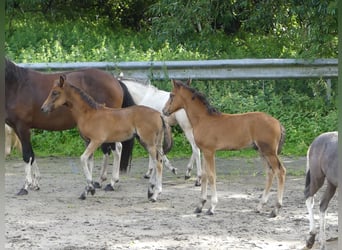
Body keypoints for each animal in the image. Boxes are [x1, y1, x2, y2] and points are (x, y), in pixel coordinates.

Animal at [4, 58, 135, 195]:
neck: (17, 86)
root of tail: (116, 81)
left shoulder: (22, 127)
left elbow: (26, 155)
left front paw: (25, 186)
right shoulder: (17, 128)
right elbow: (31, 154)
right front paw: (35, 183)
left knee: (116, 149)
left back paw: (111, 183)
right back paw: (99, 181)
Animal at [41, 74, 170, 201]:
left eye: (55, 93)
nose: (43, 108)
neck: (89, 114)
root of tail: (159, 114)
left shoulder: (96, 141)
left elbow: (83, 158)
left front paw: (91, 188)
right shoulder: (88, 142)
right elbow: (89, 164)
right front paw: (86, 191)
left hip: (148, 142)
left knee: (158, 163)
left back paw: (155, 194)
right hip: (152, 142)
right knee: (158, 160)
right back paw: (150, 190)